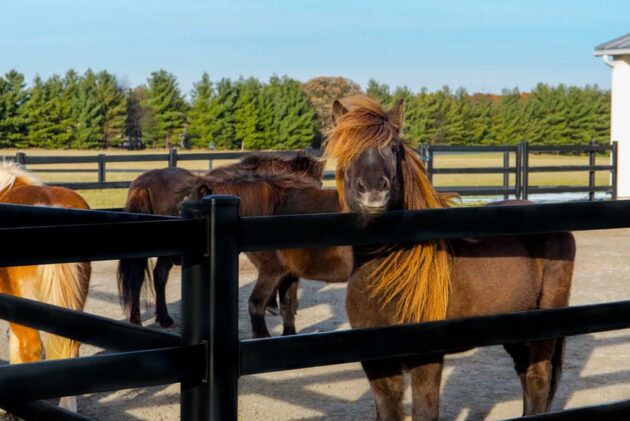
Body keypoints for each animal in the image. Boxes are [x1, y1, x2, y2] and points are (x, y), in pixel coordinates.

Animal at [115, 153, 348, 336]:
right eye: (315, 184)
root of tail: (143, 182)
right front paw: (272, 304)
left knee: (157, 275)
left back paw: (159, 318)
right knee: (140, 277)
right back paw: (139, 318)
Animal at [326, 96, 576, 420]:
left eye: (394, 148)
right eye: (345, 149)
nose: (372, 190)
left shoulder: (427, 359)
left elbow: (425, 410)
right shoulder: (377, 362)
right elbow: (388, 410)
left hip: (544, 324)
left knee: (538, 379)